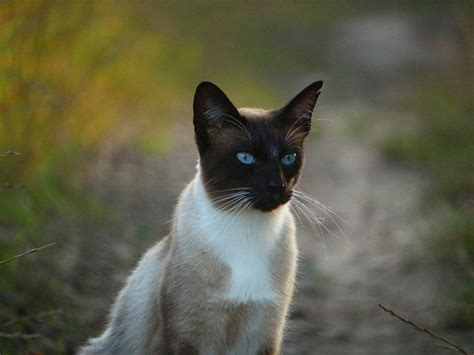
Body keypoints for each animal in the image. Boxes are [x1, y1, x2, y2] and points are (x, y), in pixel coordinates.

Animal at [79, 80, 322, 355]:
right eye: (246, 158)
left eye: (288, 158)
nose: (277, 186)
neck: (246, 231)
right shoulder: (186, 338)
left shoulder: (263, 339)